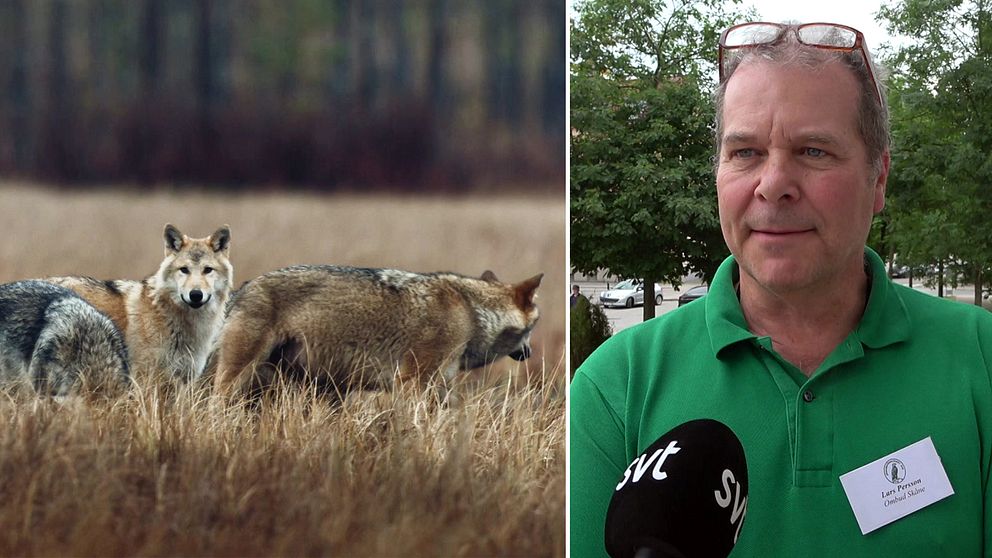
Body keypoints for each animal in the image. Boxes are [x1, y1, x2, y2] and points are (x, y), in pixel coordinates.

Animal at [210, 268, 548, 402]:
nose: (530, 353)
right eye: (534, 329)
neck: (472, 312)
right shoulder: (412, 382)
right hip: (238, 377)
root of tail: (242, 288)